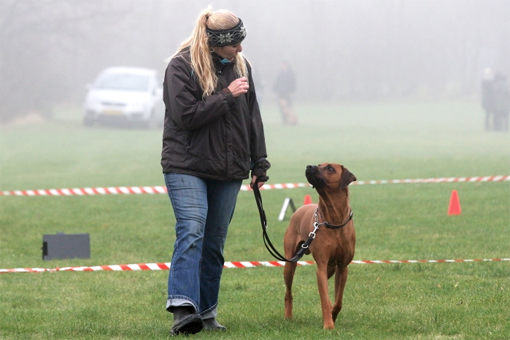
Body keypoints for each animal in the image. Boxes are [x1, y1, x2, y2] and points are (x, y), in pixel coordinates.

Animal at [282, 163, 354, 328]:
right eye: (319, 164)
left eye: (330, 168)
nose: (309, 166)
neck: (334, 219)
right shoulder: (321, 266)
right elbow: (325, 300)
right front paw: (328, 325)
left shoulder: (343, 267)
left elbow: (338, 301)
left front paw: (333, 316)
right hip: (290, 264)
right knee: (288, 292)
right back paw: (288, 316)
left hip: (331, 268)